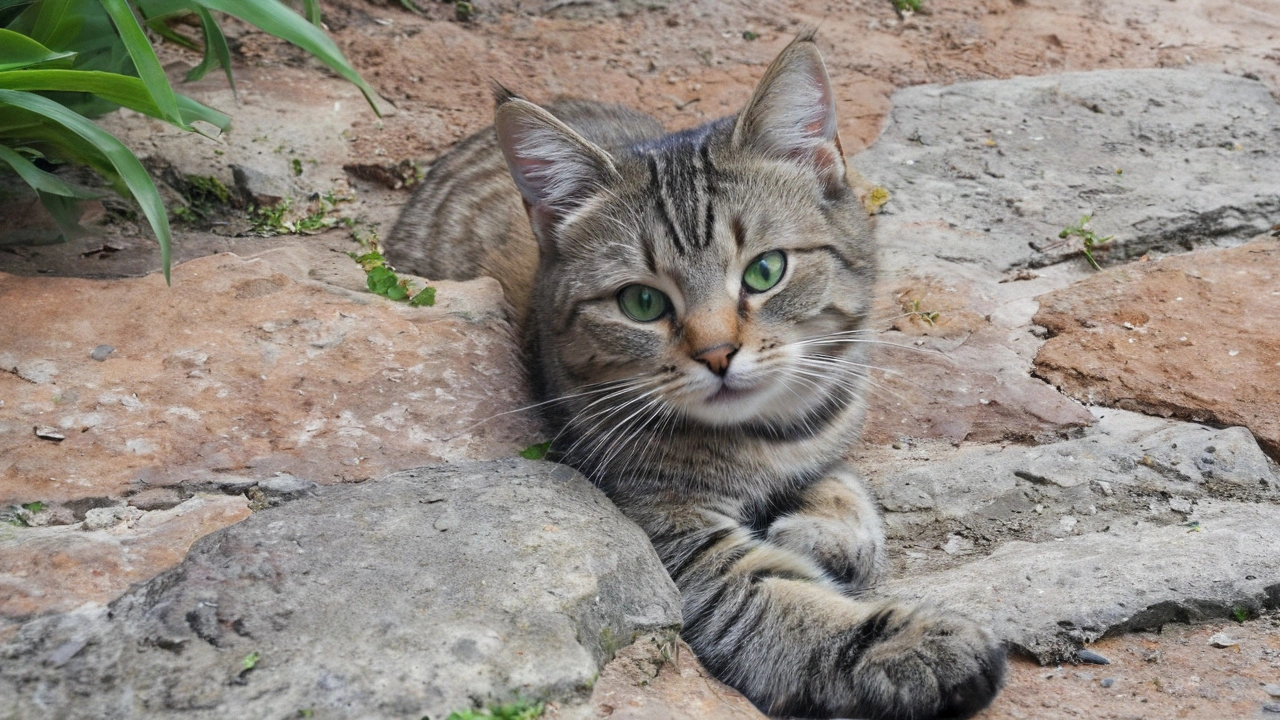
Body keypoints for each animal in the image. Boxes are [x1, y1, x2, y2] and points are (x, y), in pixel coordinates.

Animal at [384, 33, 1003, 717]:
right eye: (641, 303)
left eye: (766, 271)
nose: (717, 353)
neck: (764, 438)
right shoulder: (675, 542)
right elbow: (780, 604)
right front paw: (907, 645)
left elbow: (842, 481)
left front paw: (828, 530)